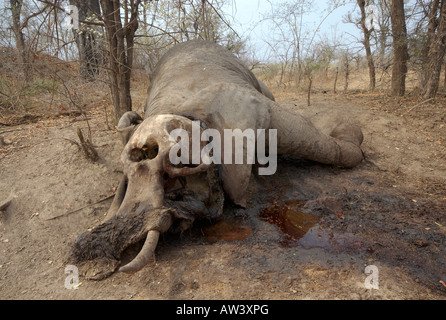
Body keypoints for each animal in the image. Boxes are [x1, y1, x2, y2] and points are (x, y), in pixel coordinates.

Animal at [68, 40, 364, 280]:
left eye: (177, 168)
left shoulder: (256, 110)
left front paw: (352, 137)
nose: (92, 259)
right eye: (127, 175)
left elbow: (307, 136)